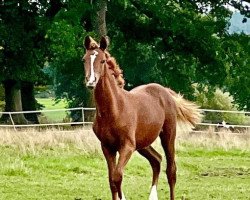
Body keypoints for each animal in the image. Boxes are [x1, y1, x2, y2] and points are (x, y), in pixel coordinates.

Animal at [82, 36, 201, 200]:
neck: (114, 110)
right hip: (143, 143)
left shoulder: (127, 146)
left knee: (171, 171)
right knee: (156, 160)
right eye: (84, 59)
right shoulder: (107, 147)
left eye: (102, 61)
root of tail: (165, 92)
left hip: (168, 136)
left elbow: (117, 176)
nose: (91, 82)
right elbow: (111, 180)